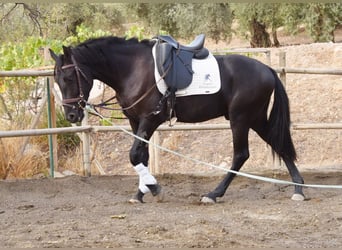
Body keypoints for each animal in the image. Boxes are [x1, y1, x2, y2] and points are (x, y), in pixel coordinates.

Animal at [48, 35, 304, 203]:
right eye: (56, 79)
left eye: (69, 77)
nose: (71, 115)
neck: (133, 69)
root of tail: (267, 69)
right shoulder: (135, 121)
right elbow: (142, 155)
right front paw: (142, 192)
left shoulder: (150, 120)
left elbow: (134, 155)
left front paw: (153, 187)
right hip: (255, 118)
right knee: (278, 143)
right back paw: (299, 189)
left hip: (240, 119)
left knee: (241, 154)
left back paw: (213, 194)